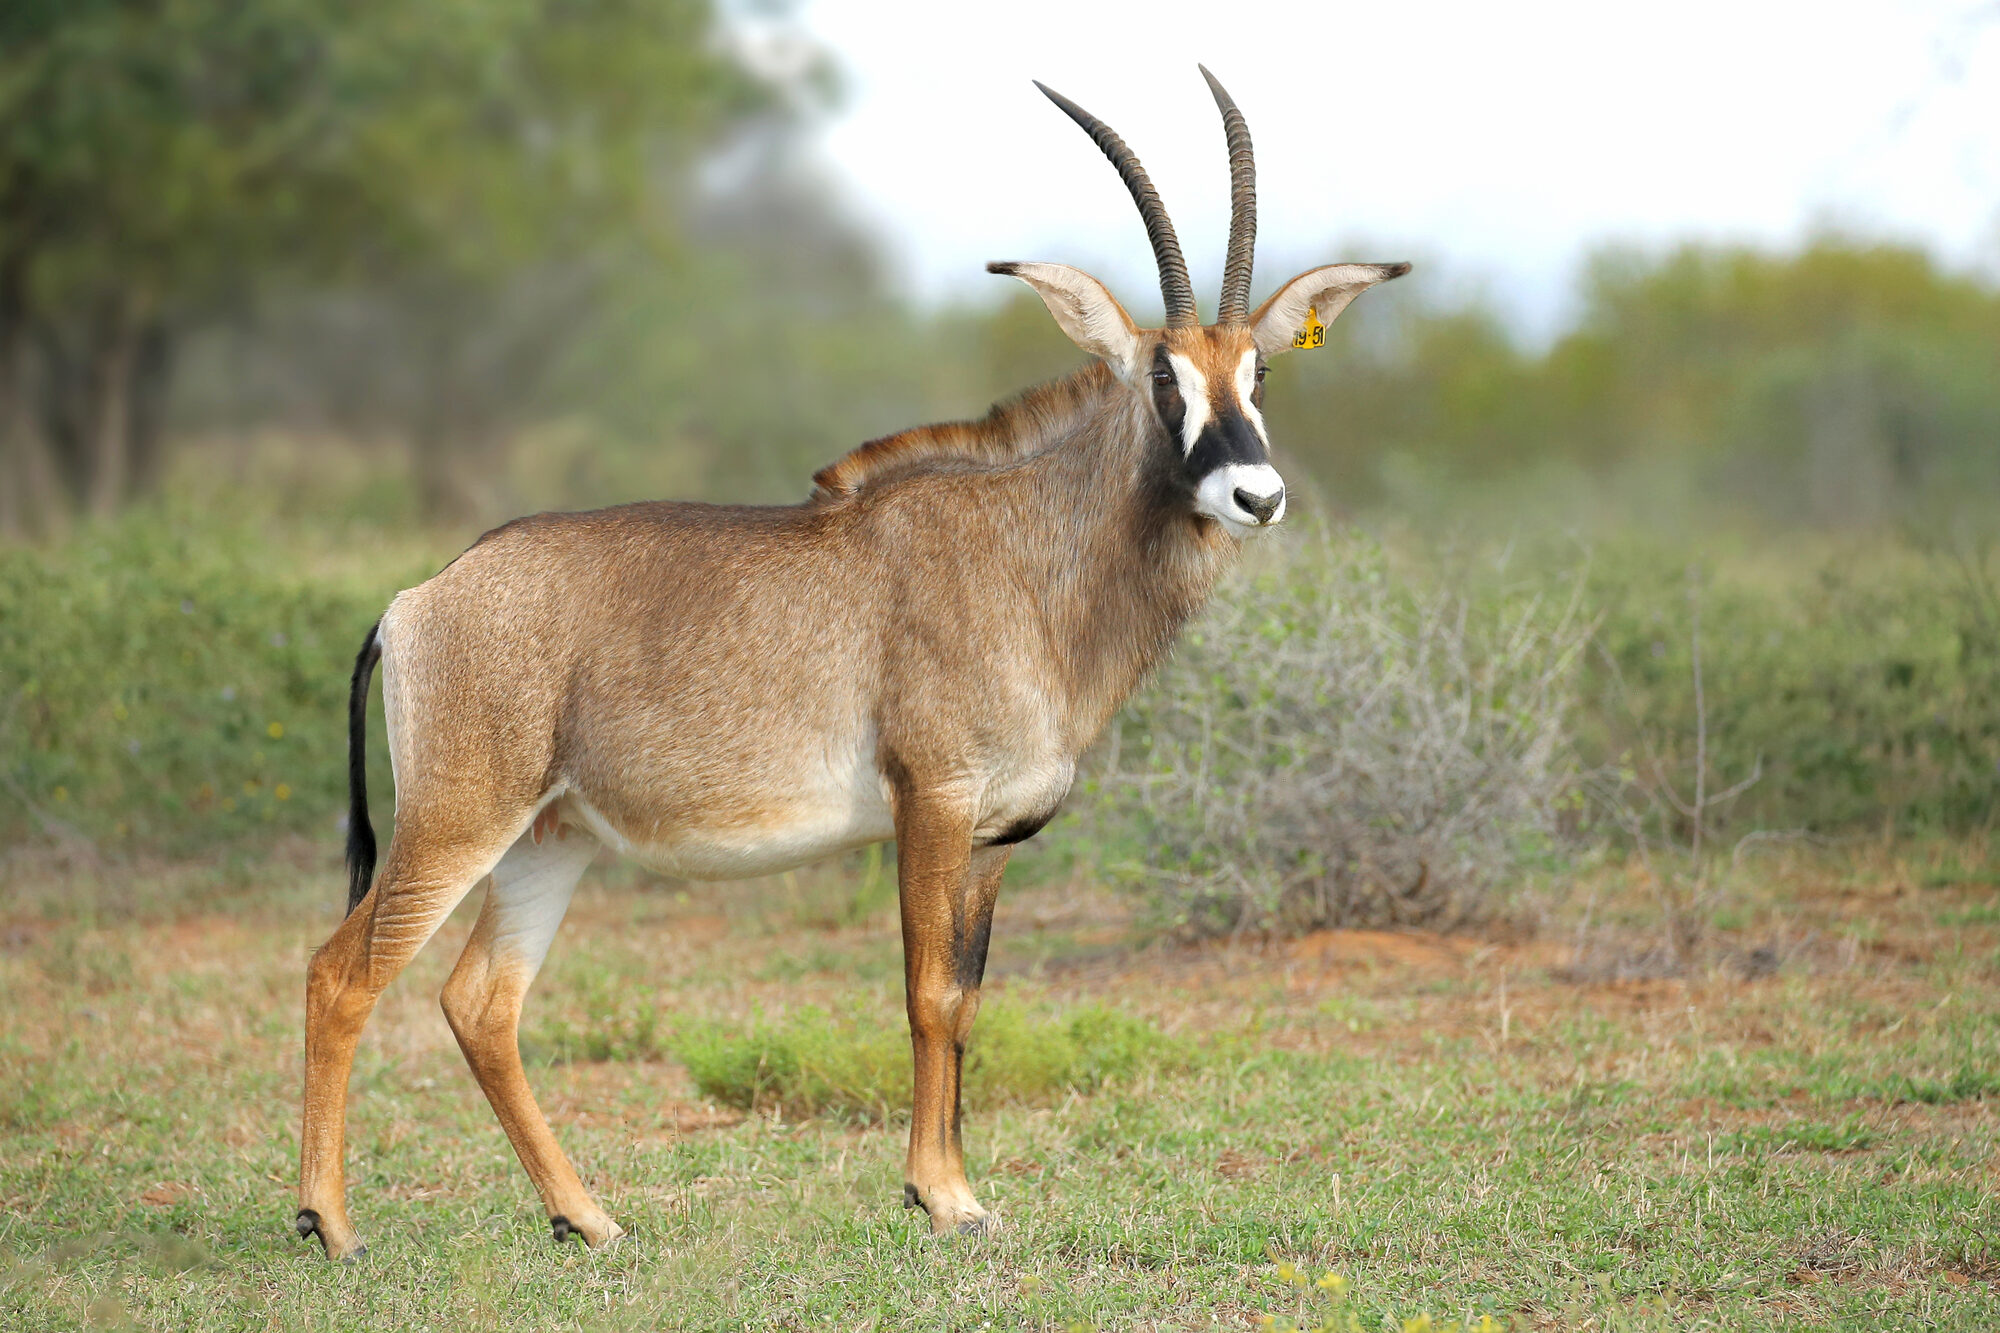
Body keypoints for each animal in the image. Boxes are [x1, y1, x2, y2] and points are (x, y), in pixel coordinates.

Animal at [295, 67, 1407, 1261]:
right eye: (1162, 374)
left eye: (1258, 369)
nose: (1256, 494)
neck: (1026, 555)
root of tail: (415, 601)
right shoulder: (932, 802)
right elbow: (925, 993)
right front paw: (941, 1194)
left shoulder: (994, 838)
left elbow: (967, 997)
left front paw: (953, 1187)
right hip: (459, 819)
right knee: (342, 972)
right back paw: (331, 1223)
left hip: (547, 841)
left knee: (482, 1003)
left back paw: (585, 1217)